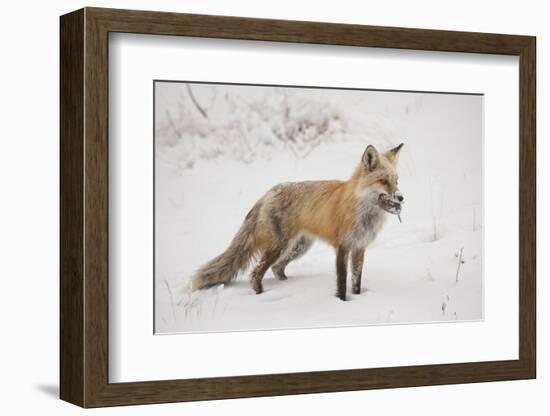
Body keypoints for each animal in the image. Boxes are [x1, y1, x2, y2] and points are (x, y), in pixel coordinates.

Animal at [193, 143, 406, 300]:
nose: (401, 197)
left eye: (396, 181)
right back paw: (261, 295)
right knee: (256, 273)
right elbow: (342, 282)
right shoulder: (343, 246)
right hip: (279, 246)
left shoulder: (360, 248)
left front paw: (358, 299)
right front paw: (342, 302)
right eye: (383, 181)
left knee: (277, 268)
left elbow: (356, 282)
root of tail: (268, 192)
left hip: (298, 247)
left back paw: (289, 287)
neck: (364, 212)